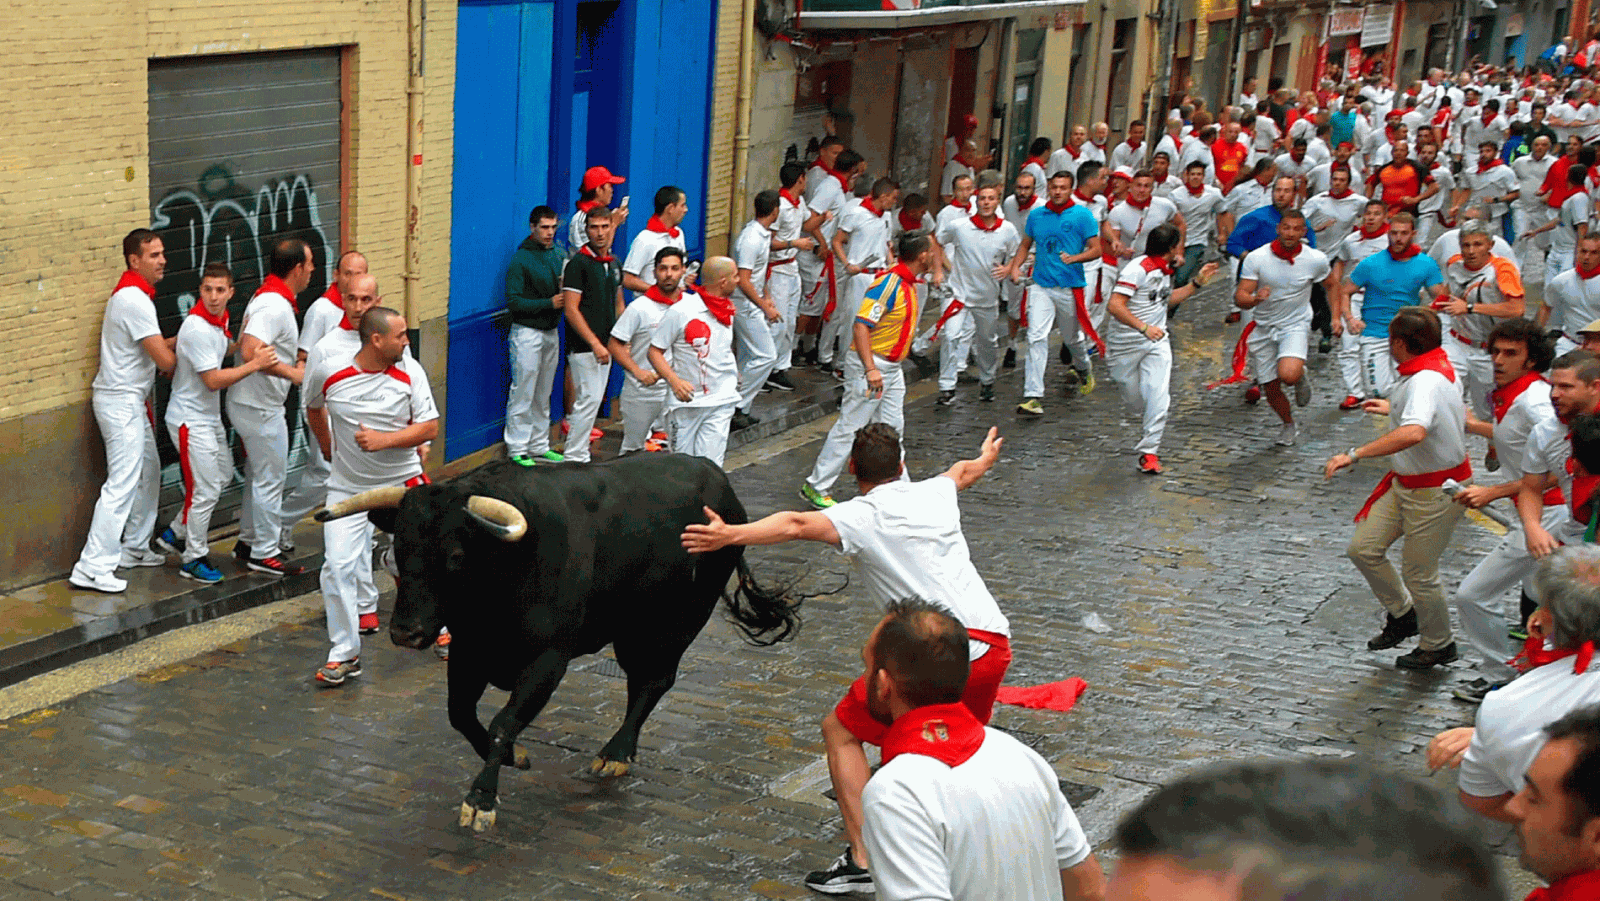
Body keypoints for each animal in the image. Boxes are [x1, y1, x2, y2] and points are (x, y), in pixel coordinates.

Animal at [315, 457, 800, 832]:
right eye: (399, 547)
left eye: (455, 555)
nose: (405, 632)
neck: (506, 569)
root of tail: (717, 479)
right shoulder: (470, 653)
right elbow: (462, 716)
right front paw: (514, 758)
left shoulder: (547, 661)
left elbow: (502, 723)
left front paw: (481, 799)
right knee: (641, 682)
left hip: (675, 623)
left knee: (654, 681)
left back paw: (615, 754)